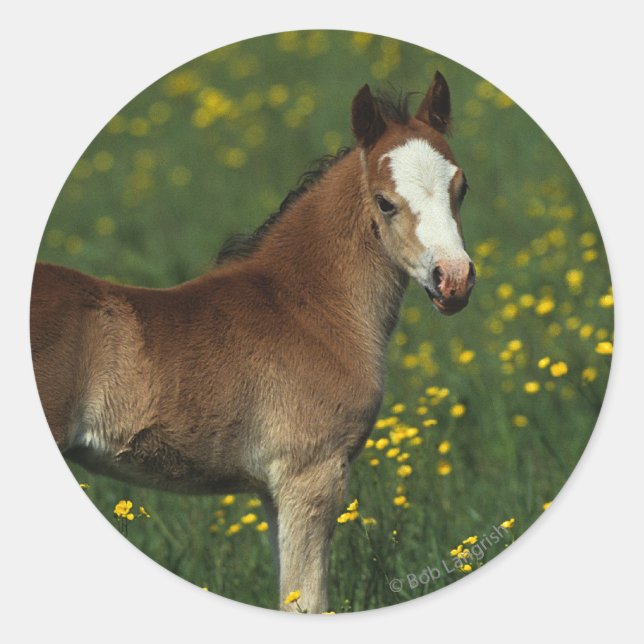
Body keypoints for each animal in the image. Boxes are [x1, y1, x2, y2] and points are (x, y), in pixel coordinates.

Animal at [30, 71, 475, 613]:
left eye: (462, 187)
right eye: (386, 202)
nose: (454, 280)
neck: (307, 310)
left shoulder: (272, 491)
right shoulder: (312, 475)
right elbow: (306, 601)